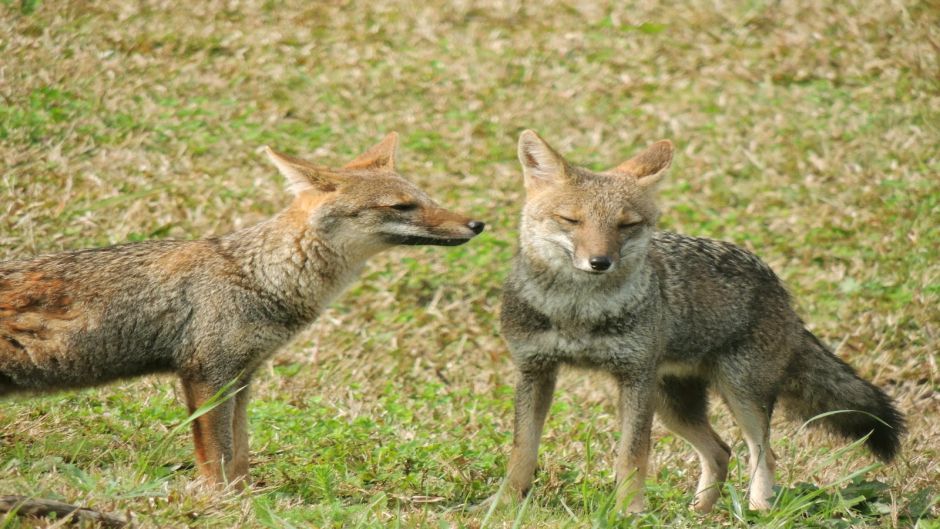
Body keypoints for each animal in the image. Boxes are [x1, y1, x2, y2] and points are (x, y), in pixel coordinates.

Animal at [0, 132, 484, 486]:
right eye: (403, 206)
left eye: (428, 198)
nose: (478, 223)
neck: (260, 275)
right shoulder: (206, 373)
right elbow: (217, 455)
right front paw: (218, 501)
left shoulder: (243, 377)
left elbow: (241, 455)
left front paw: (244, 499)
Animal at [492, 130, 904, 512]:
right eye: (571, 220)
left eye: (626, 225)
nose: (600, 262)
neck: (578, 312)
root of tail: (780, 290)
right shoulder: (535, 371)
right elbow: (522, 449)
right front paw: (505, 505)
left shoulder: (635, 378)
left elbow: (632, 456)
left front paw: (629, 512)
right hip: (673, 406)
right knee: (721, 452)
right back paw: (698, 513)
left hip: (738, 396)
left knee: (763, 454)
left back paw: (757, 510)